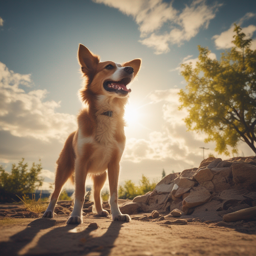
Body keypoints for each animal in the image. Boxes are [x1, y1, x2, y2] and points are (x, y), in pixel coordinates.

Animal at [42, 44, 141, 224]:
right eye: (109, 66)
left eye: (124, 66)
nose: (130, 69)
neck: (106, 111)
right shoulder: (81, 162)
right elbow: (80, 194)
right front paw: (75, 216)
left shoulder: (114, 164)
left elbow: (113, 195)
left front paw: (117, 215)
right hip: (63, 169)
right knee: (55, 193)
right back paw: (48, 212)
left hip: (101, 174)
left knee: (96, 193)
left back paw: (100, 211)